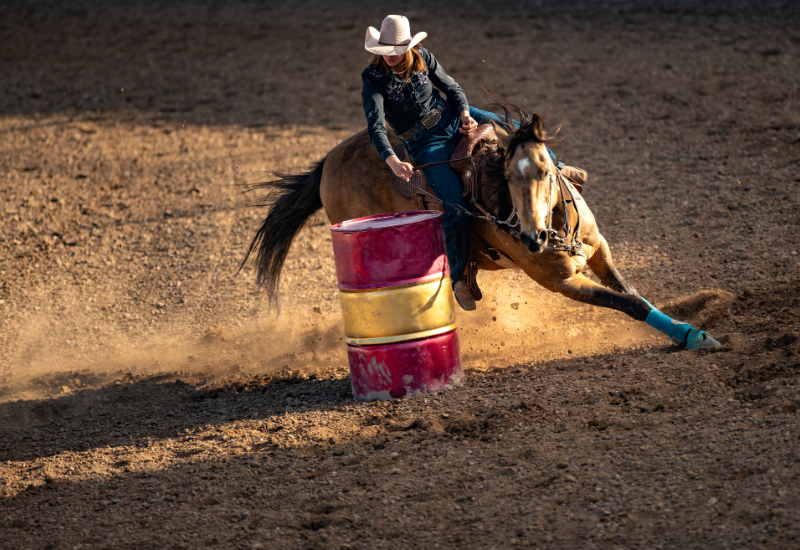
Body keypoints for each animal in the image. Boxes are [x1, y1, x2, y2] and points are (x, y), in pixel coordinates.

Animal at [241, 96, 721, 350]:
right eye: (508, 177)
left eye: (545, 171)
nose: (531, 237)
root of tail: (328, 161)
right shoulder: (561, 283)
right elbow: (627, 303)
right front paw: (695, 337)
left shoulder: (599, 248)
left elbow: (633, 293)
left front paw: (688, 324)